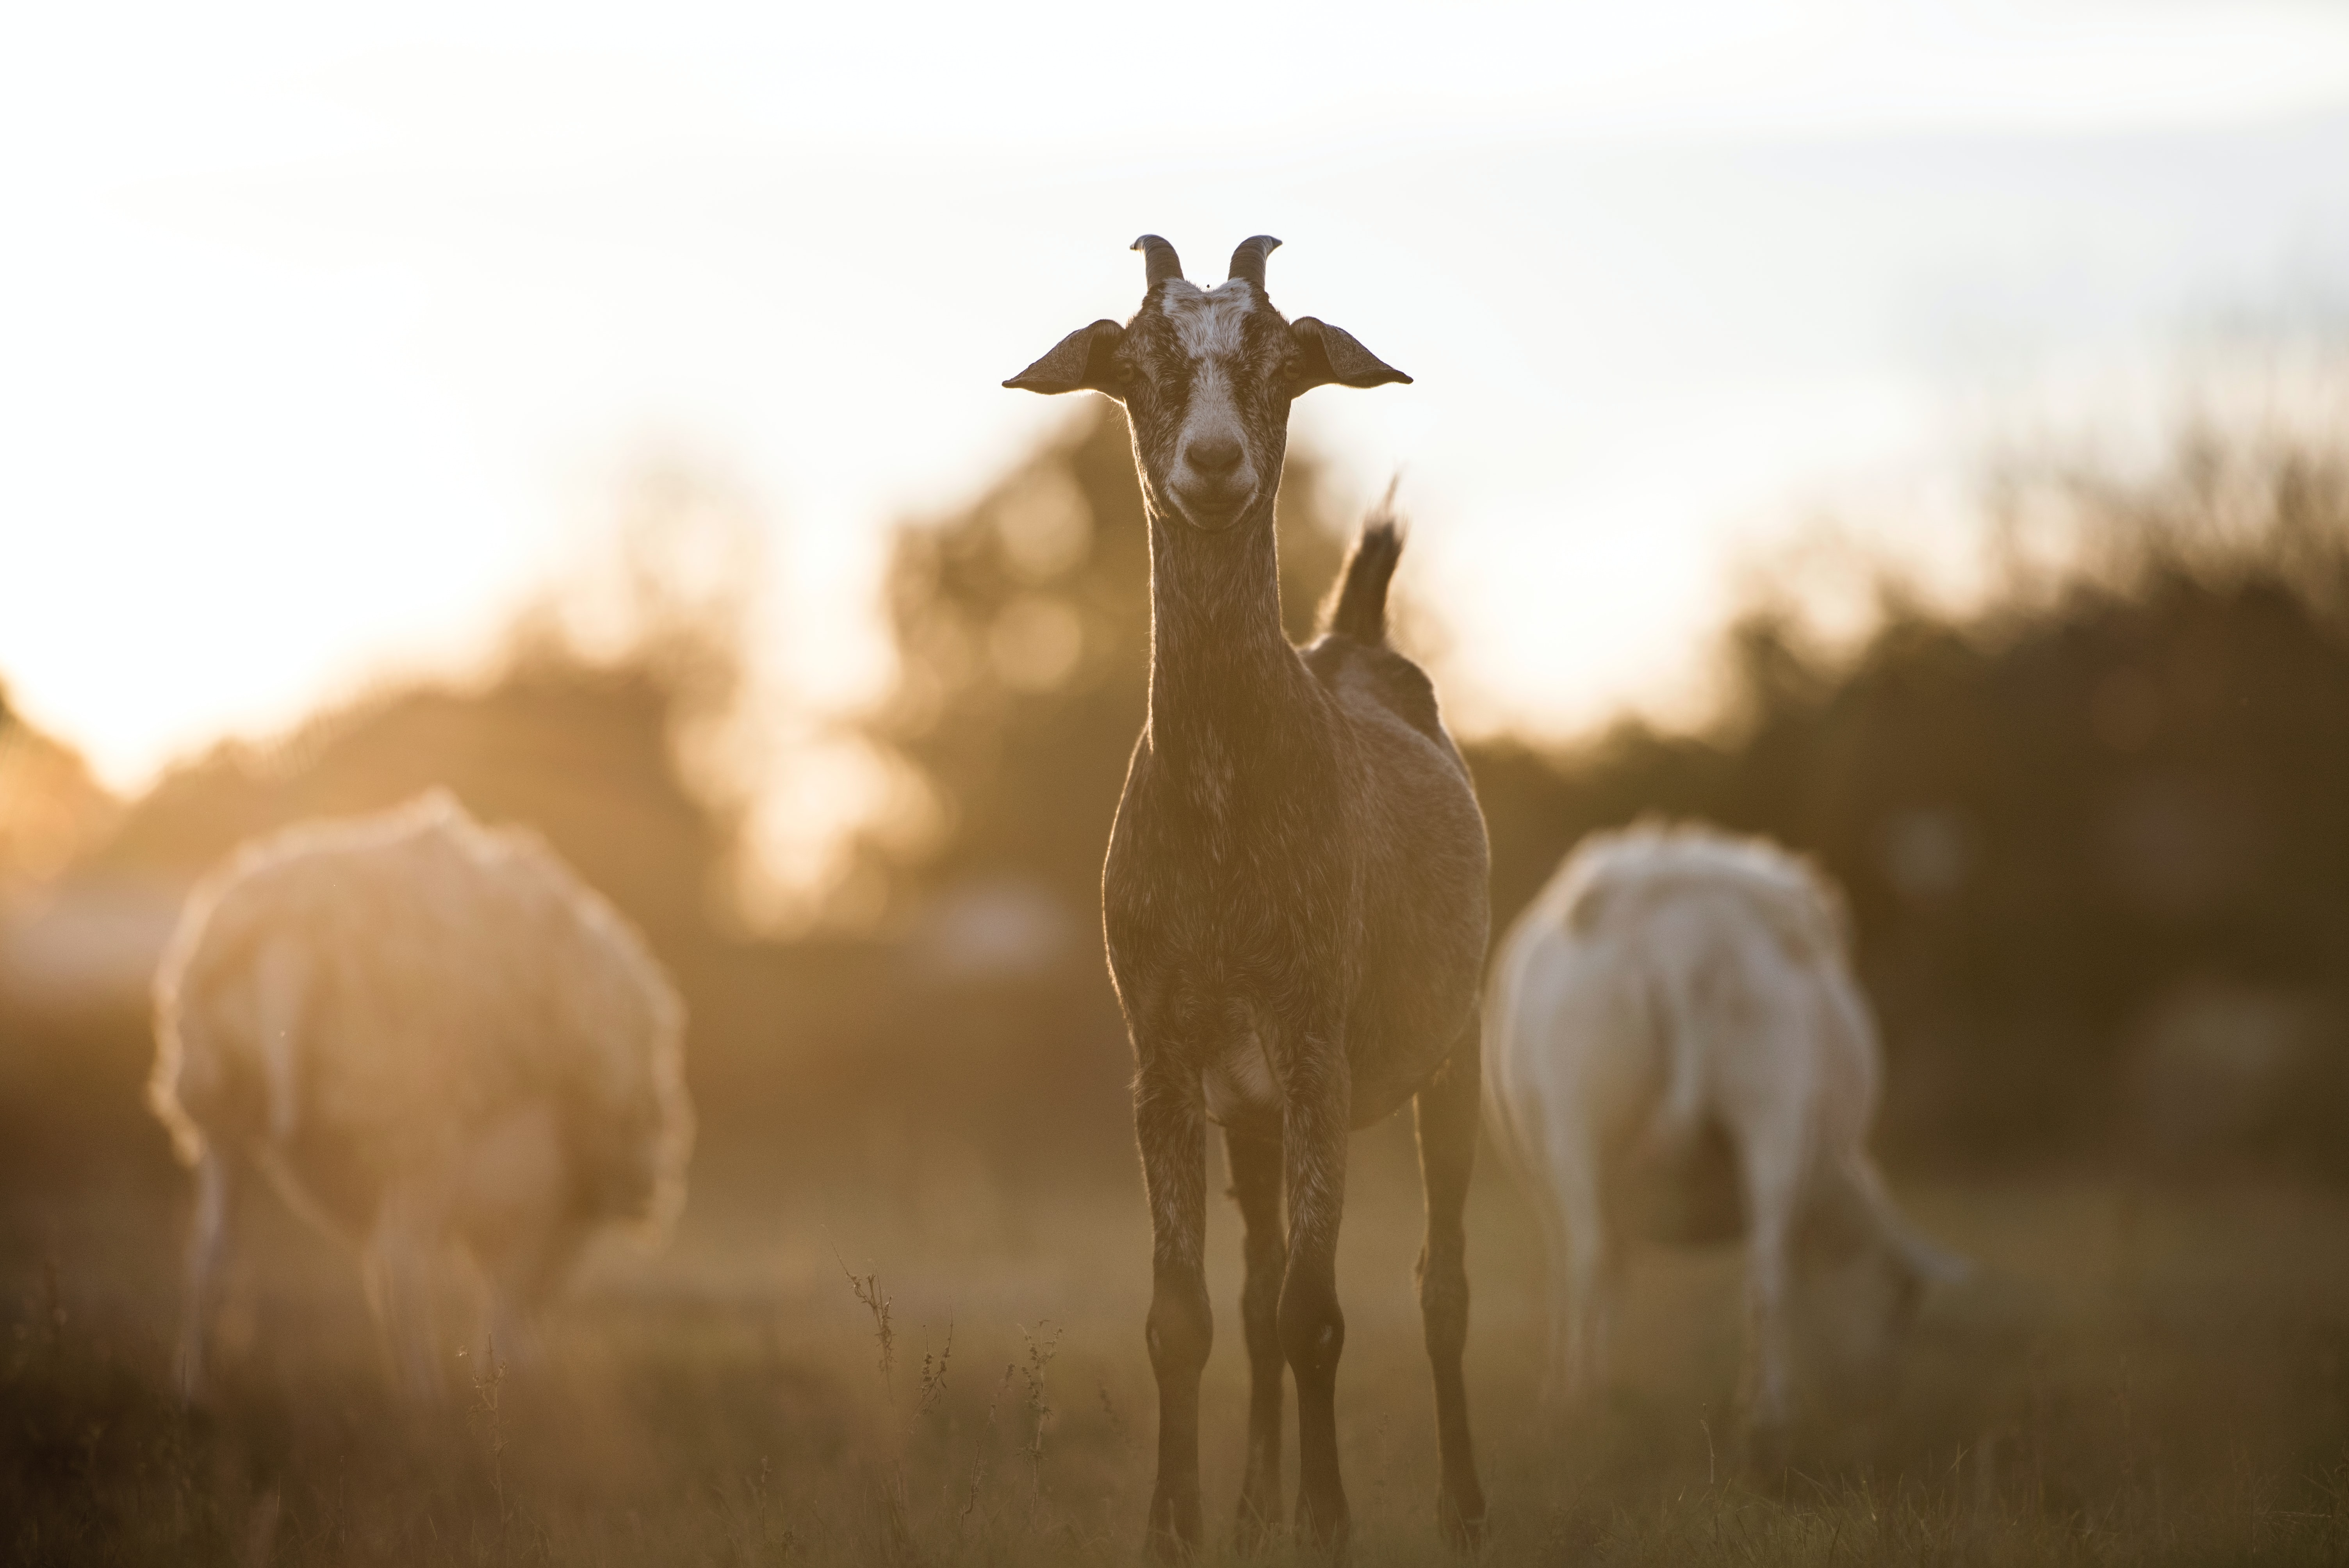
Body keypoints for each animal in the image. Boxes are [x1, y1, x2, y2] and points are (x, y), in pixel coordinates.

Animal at [150, 789, 686, 1399]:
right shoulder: (533, 1211)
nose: (533, 1364)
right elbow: (504, 1290)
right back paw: (426, 1397)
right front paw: (505, 1373)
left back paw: (194, 1389)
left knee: (211, 1253)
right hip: (420, 1122)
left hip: (219, 1108)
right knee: (400, 1263)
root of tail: (292, 929)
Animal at [1005, 236, 1485, 1558]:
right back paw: (1256, 1498)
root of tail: (1356, 640)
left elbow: (1320, 1311)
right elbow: (1191, 1315)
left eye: (1279, 361)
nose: (1213, 462)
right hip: (1255, 1117)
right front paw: (1179, 1524)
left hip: (1454, 1050)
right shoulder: (1167, 1057)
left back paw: (1460, 1507)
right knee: (1261, 1289)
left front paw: (1327, 1522)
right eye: (1138, 360)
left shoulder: (1315, 1042)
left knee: (1440, 1284)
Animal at [1485, 826, 1964, 1455]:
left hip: (1584, 1105)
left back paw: (1588, 1409)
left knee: (1597, 1261)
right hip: (1770, 1099)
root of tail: (1687, 947)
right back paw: (1761, 1416)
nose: (1876, 1406)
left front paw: (1576, 1386)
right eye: (1902, 1302)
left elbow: (1592, 1271)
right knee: (1763, 1273)